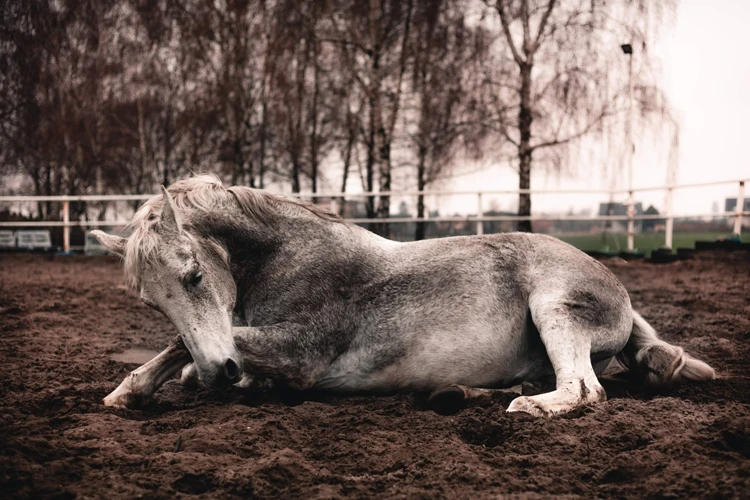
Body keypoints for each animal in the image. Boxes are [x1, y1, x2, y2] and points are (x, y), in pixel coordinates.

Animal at [94, 174, 716, 416]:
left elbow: (192, 344)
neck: (287, 255)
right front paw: (130, 392)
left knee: (584, 389)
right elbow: (181, 345)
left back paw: (526, 405)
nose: (218, 373)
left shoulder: (299, 352)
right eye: (151, 301)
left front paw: (138, 387)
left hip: (553, 306)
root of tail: (621, 294)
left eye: (195, 276)